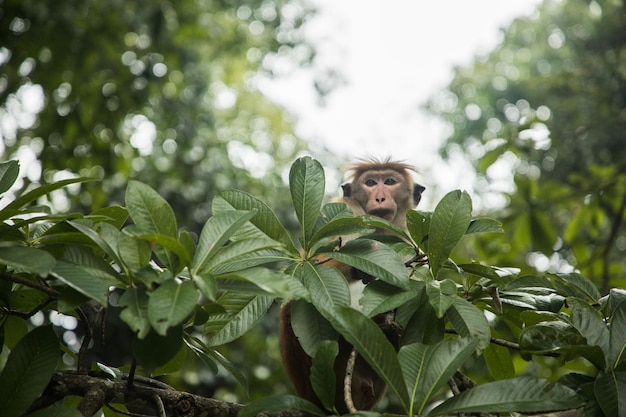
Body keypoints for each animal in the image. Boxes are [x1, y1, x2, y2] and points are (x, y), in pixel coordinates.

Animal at [280, 157, 422, 412]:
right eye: (370, 182)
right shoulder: (344, 214)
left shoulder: (408, 237)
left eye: (389, 181)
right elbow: (313, 263)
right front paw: (360, 266)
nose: (379, 197)